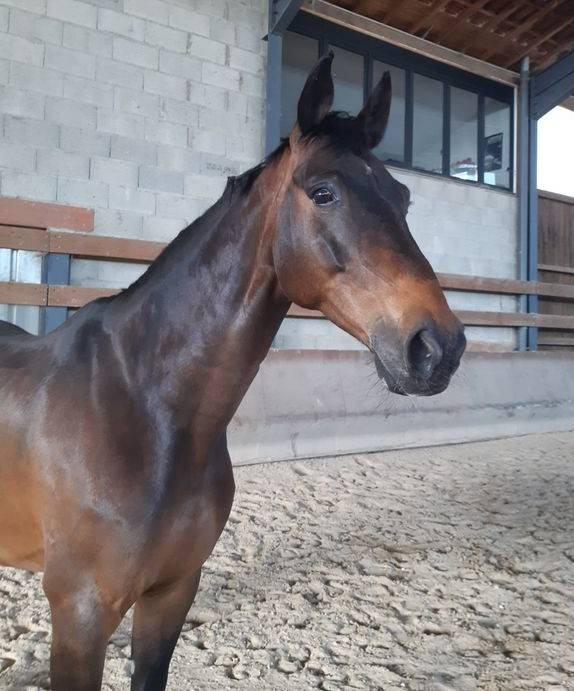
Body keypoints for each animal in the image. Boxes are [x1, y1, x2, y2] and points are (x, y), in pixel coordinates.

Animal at [0, 53, 465, 690]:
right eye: (323, 192)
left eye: (403, 198)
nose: (437, 347)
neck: (142, 405)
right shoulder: (80, 615)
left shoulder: (170, 595)